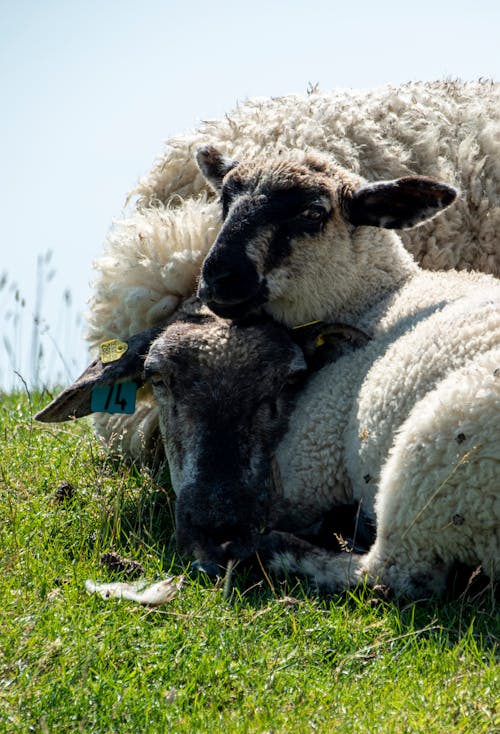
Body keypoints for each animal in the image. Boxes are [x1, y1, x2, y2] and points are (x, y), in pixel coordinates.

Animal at [188, 148, 500, 600]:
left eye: (313, 213)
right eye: (224, 202)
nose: (218, 276)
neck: (375, 297)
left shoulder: (310, 454)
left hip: (437, 460)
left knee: (395, 574)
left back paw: (280, 551)